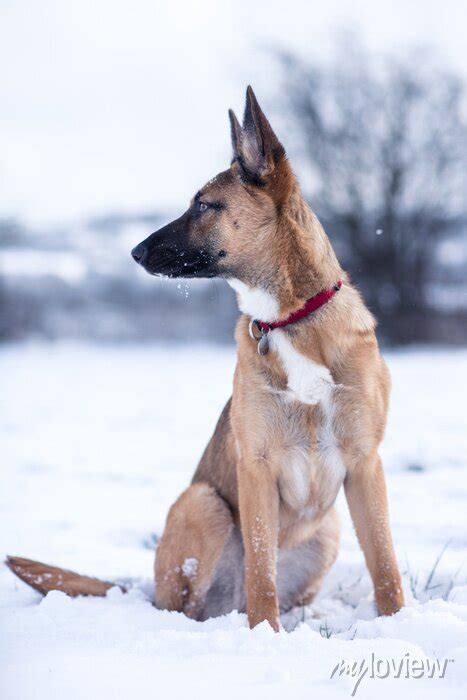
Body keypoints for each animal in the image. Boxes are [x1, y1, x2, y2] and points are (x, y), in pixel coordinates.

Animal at [5, 86, 404, 628]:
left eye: (204, 206)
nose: (134, 252)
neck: (290, 320)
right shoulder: (256, 468)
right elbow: (261, 571)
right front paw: (264, 635)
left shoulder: (365, 465)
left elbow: (385, 564)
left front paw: (399, 624)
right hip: (204, 504)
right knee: (190, 605)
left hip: (326, 533)